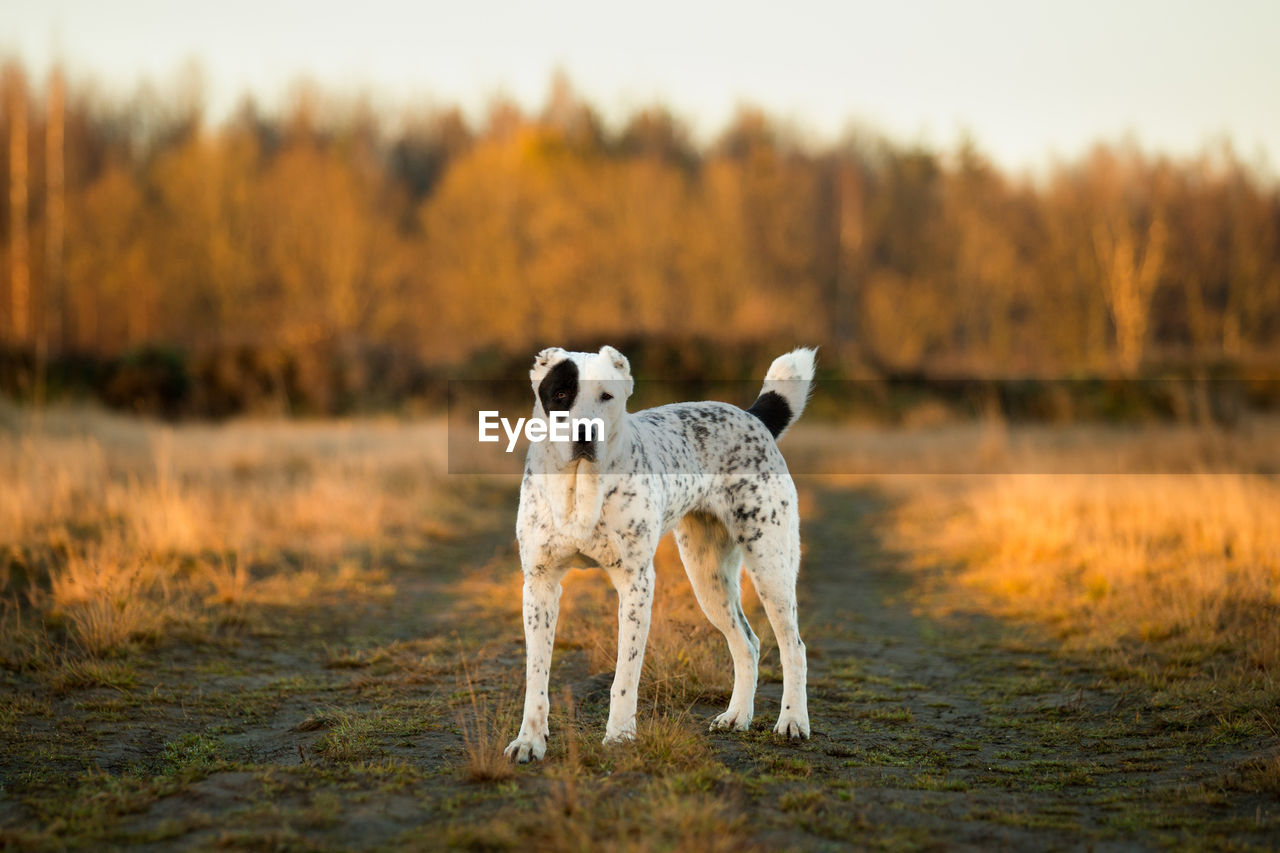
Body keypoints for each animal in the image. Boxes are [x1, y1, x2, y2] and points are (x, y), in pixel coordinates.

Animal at [504, 343, 814, 758]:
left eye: (607, 396)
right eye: (560, 394)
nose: (586, 432)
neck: (580, 490)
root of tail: (752, 416)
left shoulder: (636, 584)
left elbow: (625, 675)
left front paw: (620, 735)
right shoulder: (540, 587)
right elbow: (536, 676)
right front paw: (529, 740)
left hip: (770, 567)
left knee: (793, 647)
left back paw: (792, 720)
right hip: (708, 579)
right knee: (747, 643)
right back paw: (737, 716)